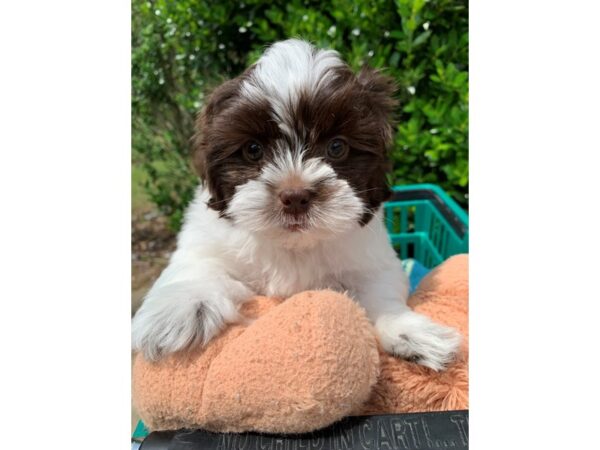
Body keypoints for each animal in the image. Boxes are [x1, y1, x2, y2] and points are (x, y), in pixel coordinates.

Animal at [131, 39, 460, 370]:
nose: (295, 196)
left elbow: (381, 296)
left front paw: (411, 332)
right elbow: (198, 268)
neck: (294, 245)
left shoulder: (373, 262)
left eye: (337, 147)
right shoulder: (205, 245)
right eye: (253, 150)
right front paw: (179, 310)